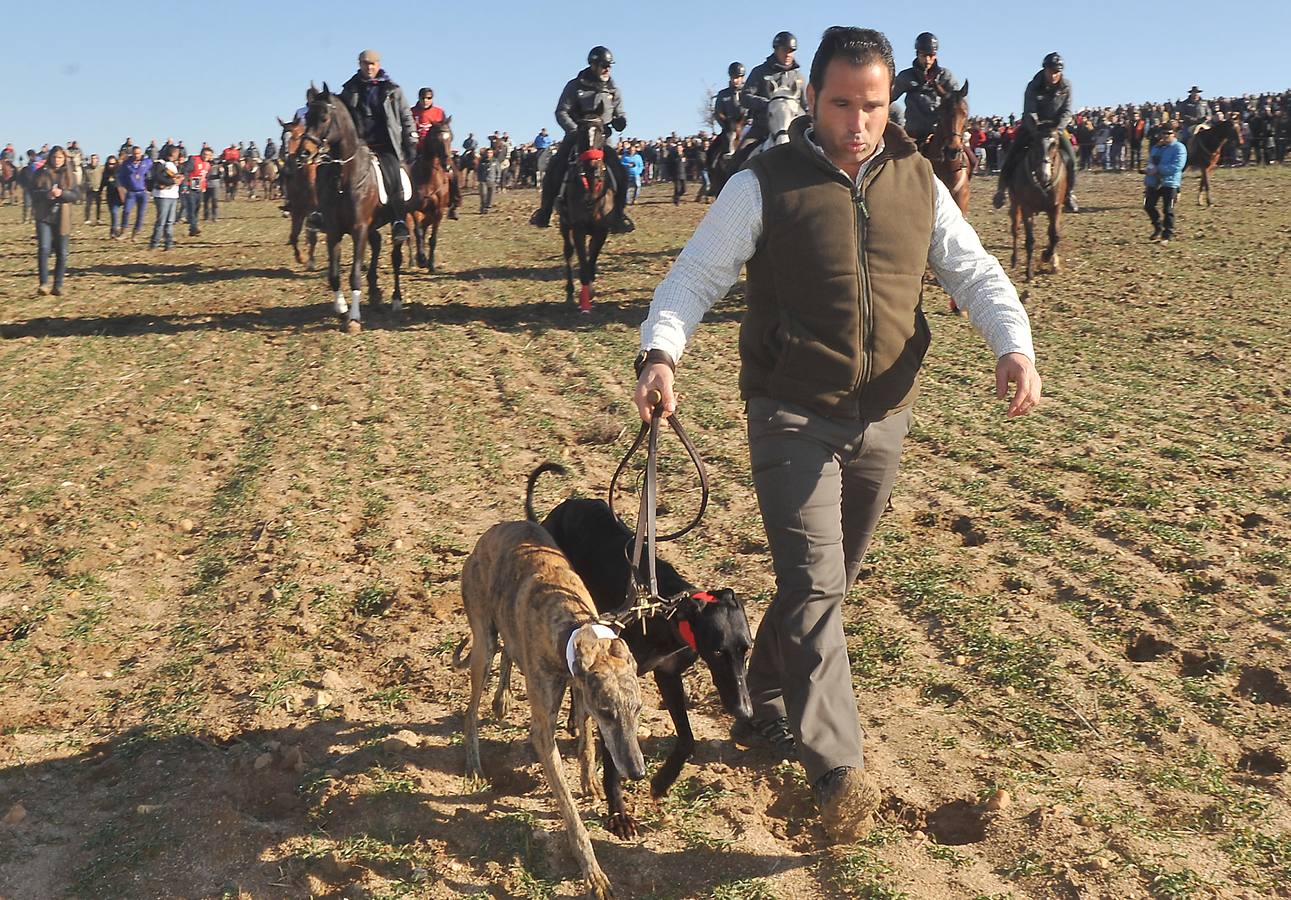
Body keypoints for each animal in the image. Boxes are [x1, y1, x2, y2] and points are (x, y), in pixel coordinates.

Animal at [274, 114, 317, 267]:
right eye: (282, 137)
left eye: (298, 137)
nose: (287, 159)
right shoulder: (298, 209)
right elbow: (294, 235)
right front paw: (301, 257)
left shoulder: (312, 211)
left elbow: (311, 235)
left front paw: (310, 260)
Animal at [298, 83, 407, 333]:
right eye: (307, 116)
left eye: (324, 117)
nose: (304, 153)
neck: (344, 178)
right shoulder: (334, 231)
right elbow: (334, 274)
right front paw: (341, 308)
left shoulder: (359, 229)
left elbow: (354, 274)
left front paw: (355, 319)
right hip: (372, 226)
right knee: (377, 244)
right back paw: (375, 292)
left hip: (397, 221)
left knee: (396, 257)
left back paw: (396, 299)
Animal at [413, 119, 459, 273]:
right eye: (434, 139)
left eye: (451, 137)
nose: (447, 166)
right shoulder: (416, 209)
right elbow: (418, 232)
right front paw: (421, 259)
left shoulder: (438, 211)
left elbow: (433, 239)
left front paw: (431, 264)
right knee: (420, 230)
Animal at [555, 106, 614, 312]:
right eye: (580, 132)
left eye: (602, 132)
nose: (592, 166)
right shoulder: (578, 228)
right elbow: (581, 258)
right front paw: (585, 297)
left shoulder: (601, 230)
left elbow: (592, 257)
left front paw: (592, 290)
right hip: (564, 225)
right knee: (568, 252)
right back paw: (570, 292)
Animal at [1006, 127, 1068, 281]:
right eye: (1034, 143)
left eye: (1054, 144)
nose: (1044, 175)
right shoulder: (1026, 207)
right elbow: (1030, 240)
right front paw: (1029, 272)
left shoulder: (1055, 208)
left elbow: (1054, 235)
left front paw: (1048, 257)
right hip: (1015, 204)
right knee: (1015, 229)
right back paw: (1014, 259)